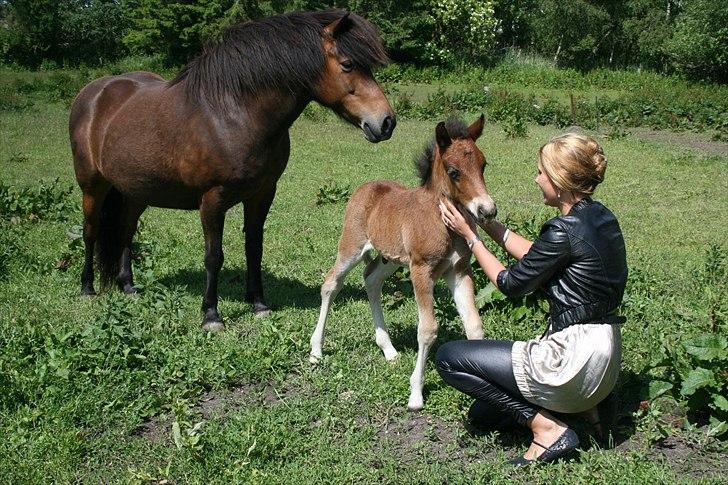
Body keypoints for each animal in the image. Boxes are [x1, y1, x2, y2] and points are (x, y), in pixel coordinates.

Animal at [310, 114, 498, 408]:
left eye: (483, 164)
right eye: (454, 171)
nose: (487, 211)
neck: (443, 223)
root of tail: (366, 187)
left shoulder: (459, 271)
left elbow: (474, 326)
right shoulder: (421, 270)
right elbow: (428, 329)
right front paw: (416, 394)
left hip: (390, 257)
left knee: (371, 279)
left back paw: (388, 349)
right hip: (351, 246)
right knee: (331, 284)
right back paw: (316, 350)